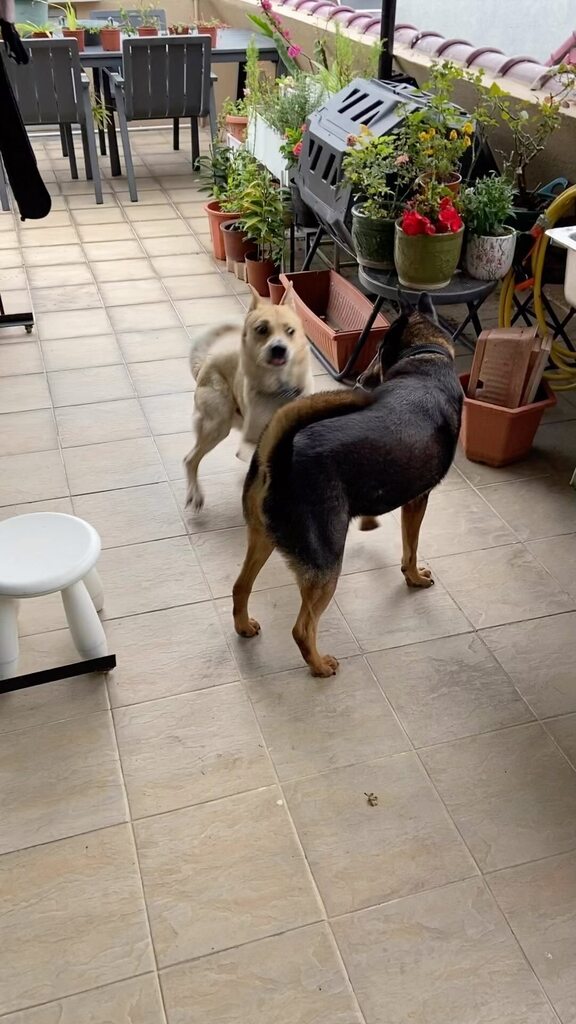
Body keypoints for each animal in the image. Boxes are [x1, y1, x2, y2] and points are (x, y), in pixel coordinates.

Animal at [230, 292, 459, 675]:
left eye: (378, 350)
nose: (363, 381)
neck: (427, 356)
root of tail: (277, 460)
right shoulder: (418, 499)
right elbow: (410, 548)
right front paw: (413, 577)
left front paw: (370, 522)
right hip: (326, 564)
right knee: (302, 627)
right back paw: (320, 665)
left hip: (262, 539)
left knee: (239, 588)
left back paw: (244, 626)